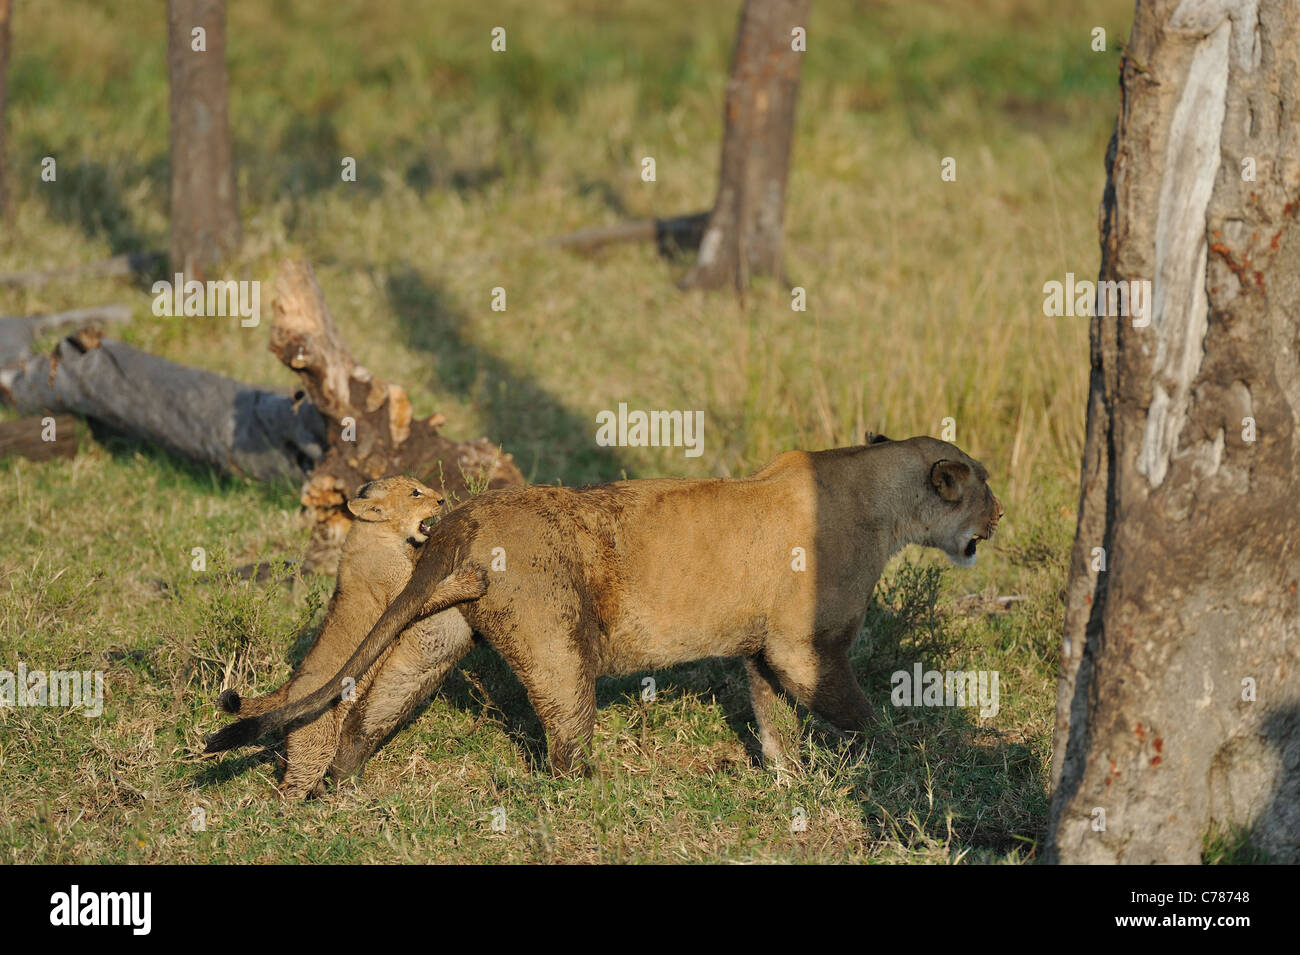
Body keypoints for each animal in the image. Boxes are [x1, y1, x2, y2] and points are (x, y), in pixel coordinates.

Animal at [207, 435, 1002, 780]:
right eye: (982, 485)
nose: (998, 515)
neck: (881, 505)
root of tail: (465, 515)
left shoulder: (764, 648)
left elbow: (771, 719)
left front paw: (788, 780)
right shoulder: (806, 648)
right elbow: (859, 712)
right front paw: (908, 758)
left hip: (433, 636)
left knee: (372, 709)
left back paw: (338, 785)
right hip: (560, 642)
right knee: (563, 738)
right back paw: (589, 786)